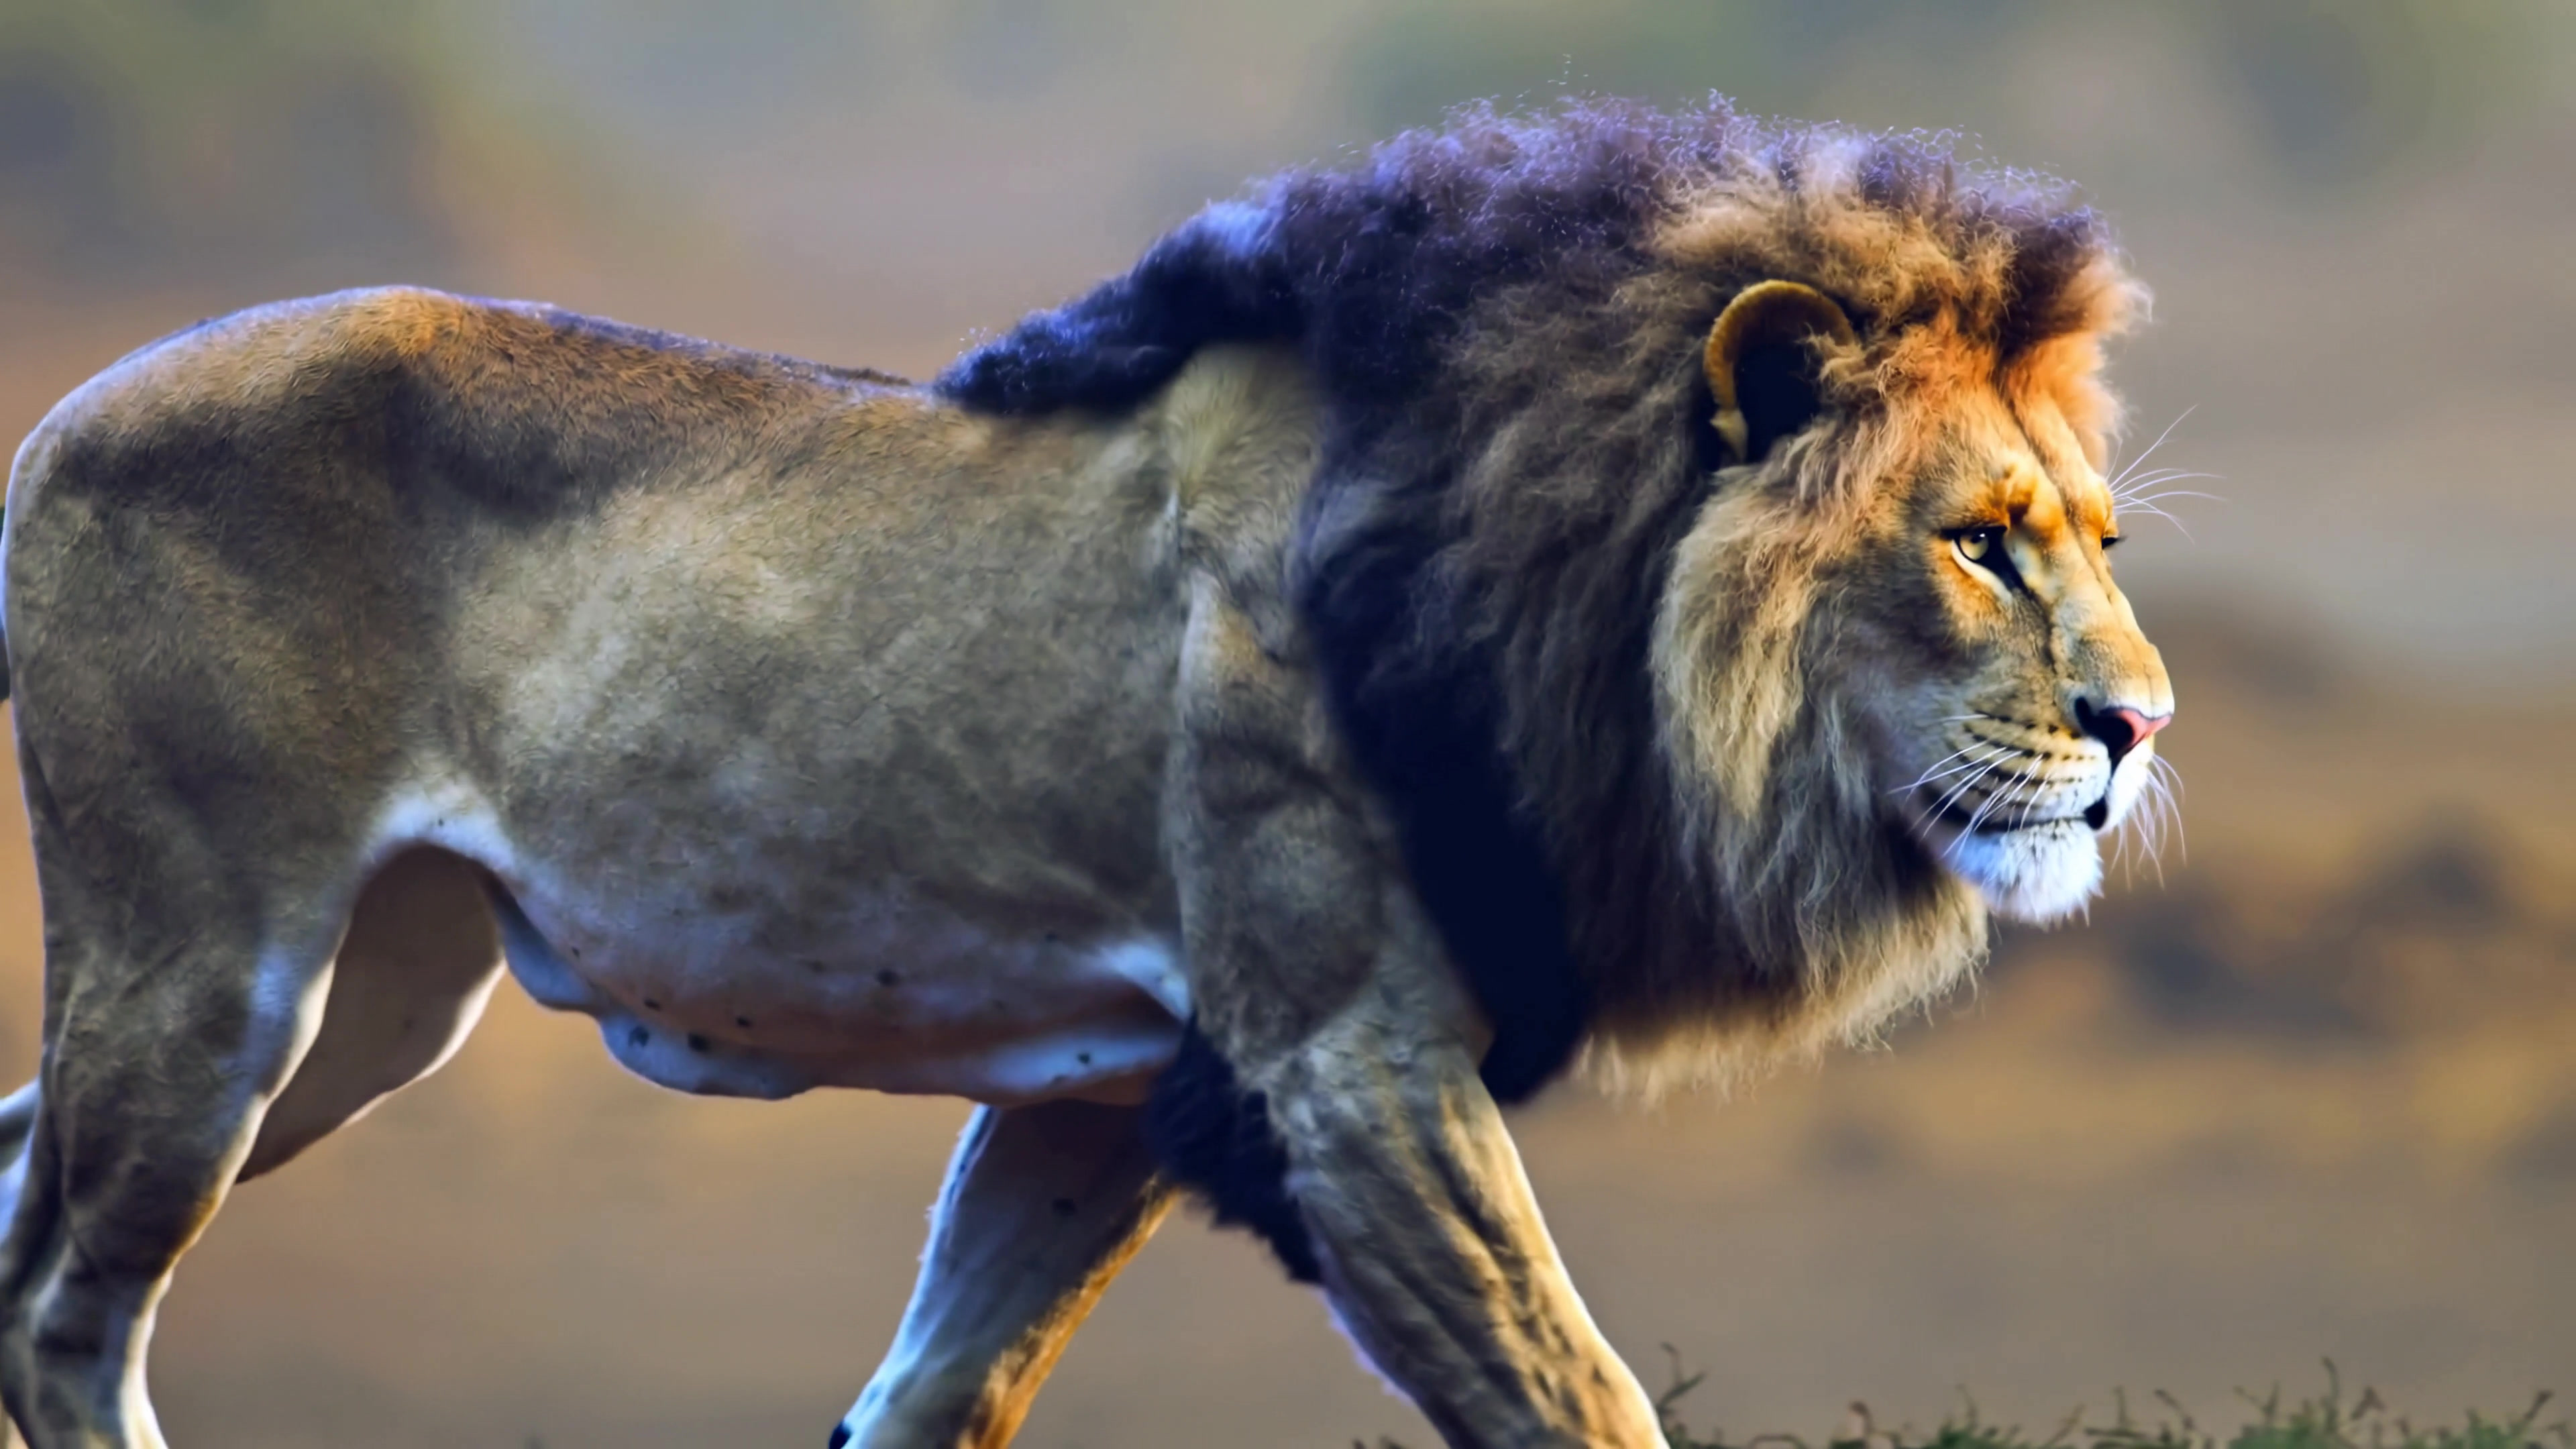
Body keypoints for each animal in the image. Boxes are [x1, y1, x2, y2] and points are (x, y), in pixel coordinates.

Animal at [0, 99, 2171, 1448]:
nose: (2138, 727)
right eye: (1976, 544)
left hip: (376, 995)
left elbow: (935, 1393)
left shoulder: (1123, 1089)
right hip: (210, 969)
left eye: (2093, 539)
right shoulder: (1345, 1063)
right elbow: (1577, 1397)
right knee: (61, 1311)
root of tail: (67, 408)